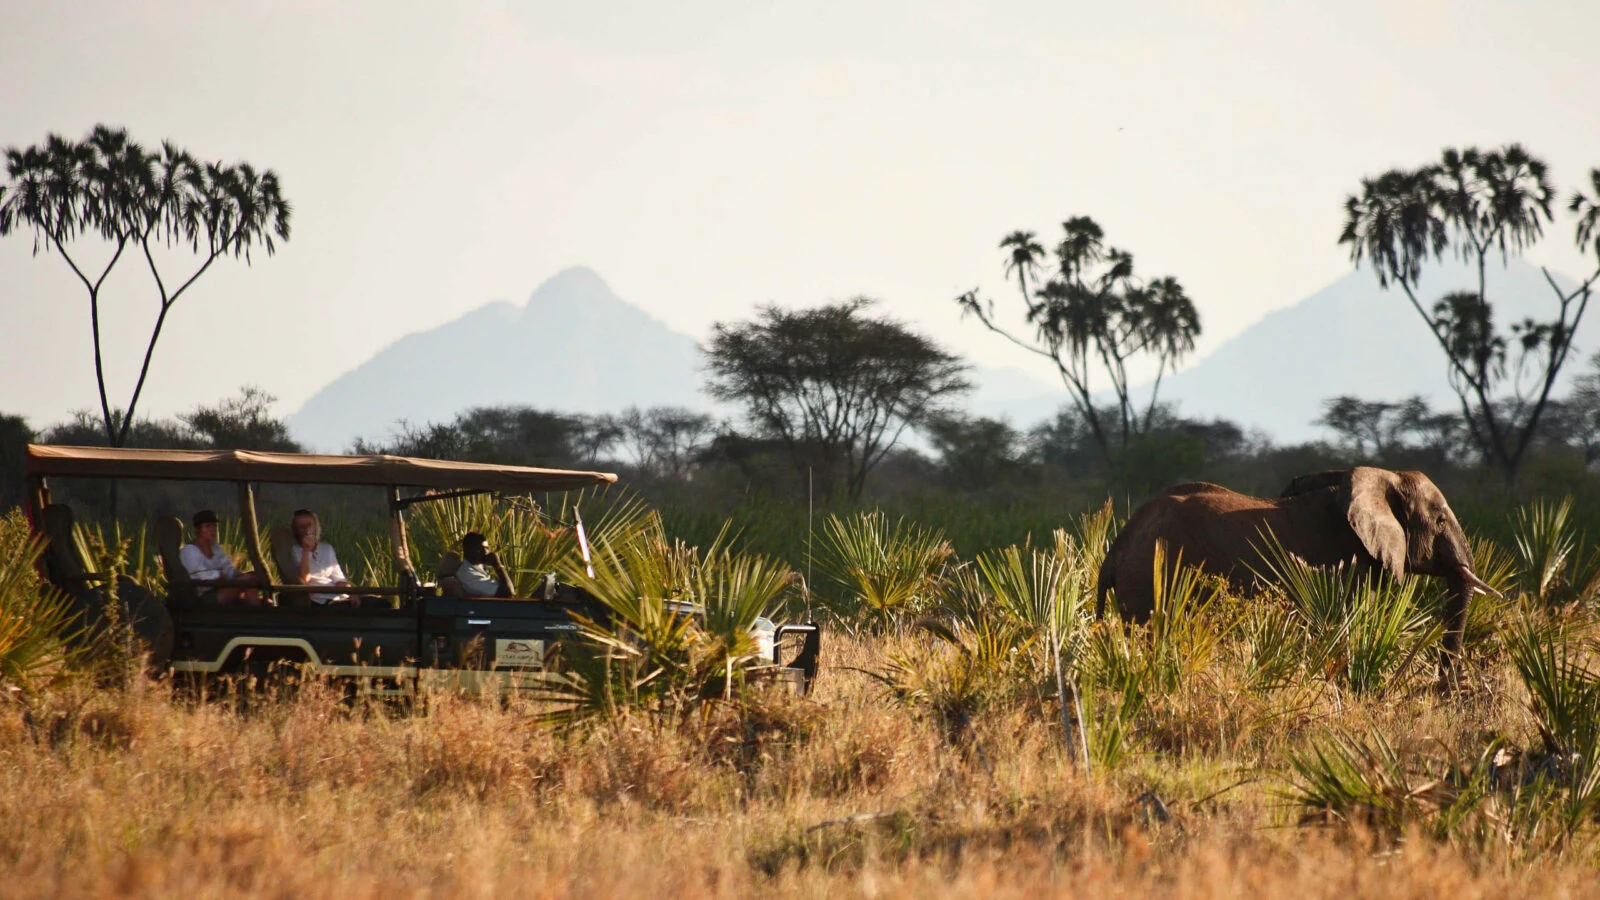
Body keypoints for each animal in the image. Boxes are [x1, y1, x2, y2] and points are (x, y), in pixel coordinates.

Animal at [1095, 466, 1498, 675]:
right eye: (1440, 520)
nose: (1444, 691)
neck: (1384, 476)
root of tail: (1115, 549)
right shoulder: (1343, 559)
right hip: (1148, 578)